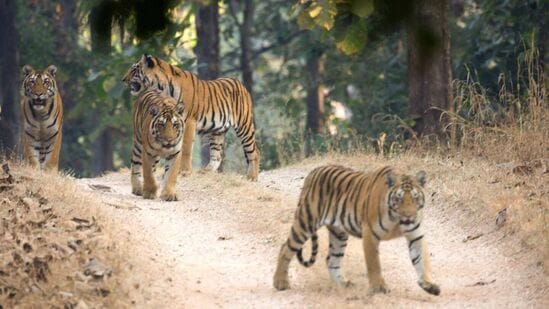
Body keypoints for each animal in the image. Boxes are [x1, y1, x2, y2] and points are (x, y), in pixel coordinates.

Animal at [123, 53, 260, 180]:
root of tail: (240, 84)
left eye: (134, 69)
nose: (123, 80)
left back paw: (251, 177)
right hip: (217, 131)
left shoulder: (188, 121)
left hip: (244, 125)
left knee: (254, 151)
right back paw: (205, 172)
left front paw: (184, 171)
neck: (161, 87)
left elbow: (186, 148)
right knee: (217, 155)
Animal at [272, 165, 438, 294]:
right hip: (305, 222)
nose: (409, 216)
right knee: (285, 248)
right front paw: (378, 287)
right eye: (399, 198)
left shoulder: (416, 235)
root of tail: (314, 171)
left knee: (332, 259)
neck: (397, 221)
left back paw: (343, 284)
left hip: (339, 234)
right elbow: (374, 263)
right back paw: (280, 283)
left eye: (415, 197)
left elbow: (422, 260)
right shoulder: (370, 234)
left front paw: (429, 285)